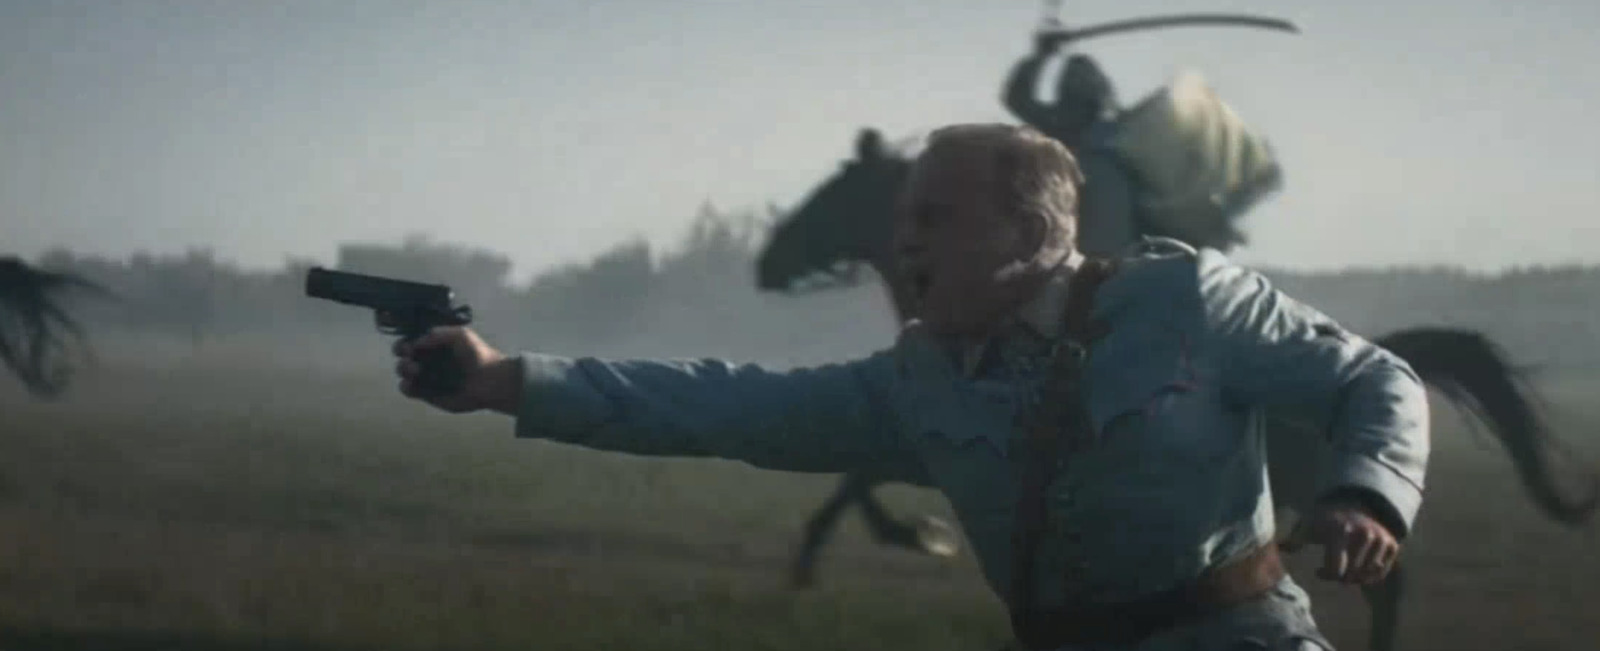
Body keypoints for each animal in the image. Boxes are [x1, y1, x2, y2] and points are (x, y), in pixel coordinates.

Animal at [752, 127, 1600, 651]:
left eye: (830, 195)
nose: (767, 264)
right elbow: (853, 471)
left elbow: (854, 481)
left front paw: (882, 543)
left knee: (1386, 575)